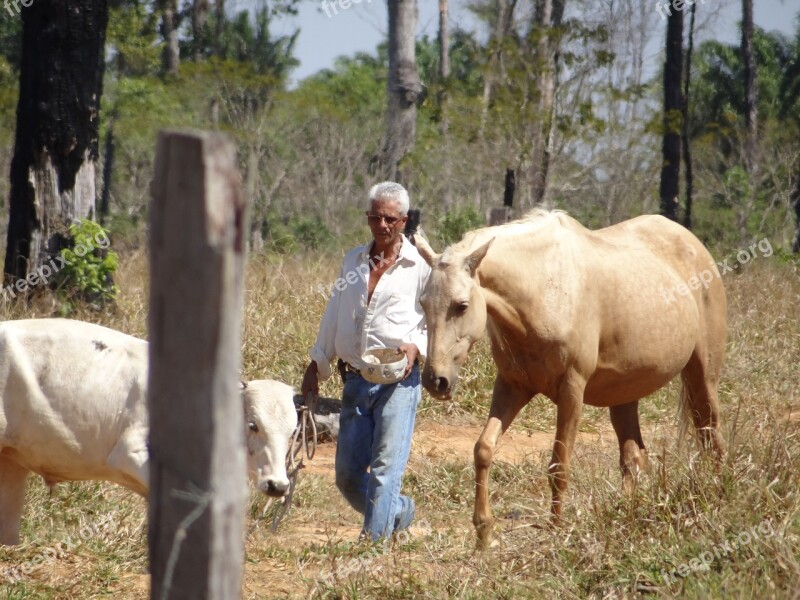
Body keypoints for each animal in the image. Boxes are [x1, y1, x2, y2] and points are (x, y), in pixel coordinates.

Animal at [412, 211, 724, 548]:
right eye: (423, 303)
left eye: (462, 305)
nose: (435, 381)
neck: (543, 287)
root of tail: (694, 244)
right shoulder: (511, 387)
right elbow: (483, 449)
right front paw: (483, 531)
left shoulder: (572, 390)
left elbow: (559, 464)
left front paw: (556, 532)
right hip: (624, 394)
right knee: (634, 459)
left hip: (702, 377)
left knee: (711, 438)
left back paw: (715, 496)